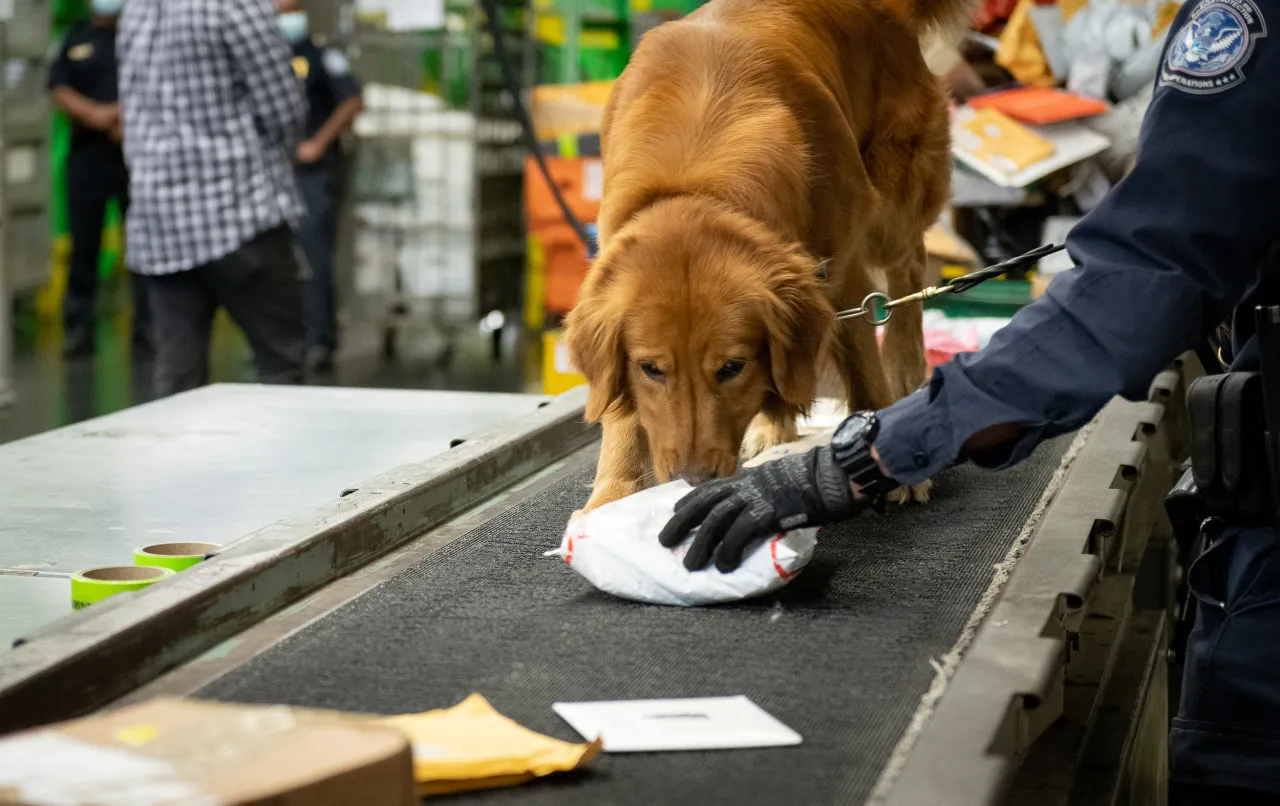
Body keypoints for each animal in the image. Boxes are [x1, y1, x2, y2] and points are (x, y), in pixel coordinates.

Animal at [565, 0, 962, 514]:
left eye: (732, 367)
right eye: (651, 369)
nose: (693, 478)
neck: (697, 182)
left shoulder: (840, 269)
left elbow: (861, 362)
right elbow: (619, 409)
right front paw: (614, 493)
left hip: (890, 200)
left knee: (908, 269)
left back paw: (906, 366)